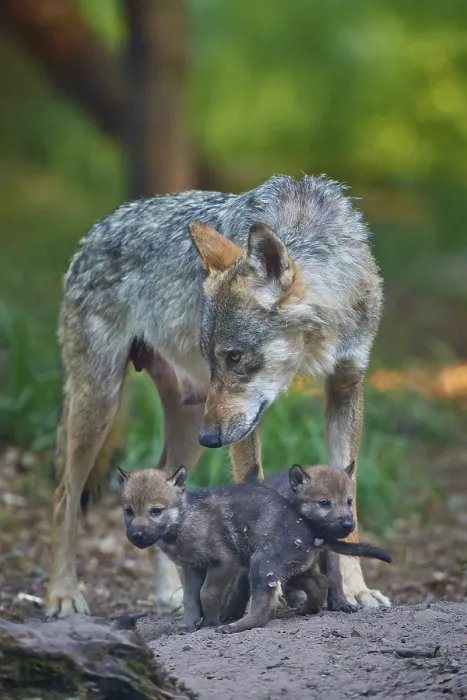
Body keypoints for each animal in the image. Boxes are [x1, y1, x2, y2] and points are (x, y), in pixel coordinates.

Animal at [48, 174, 389, 617]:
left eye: (235, 356)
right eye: (214, 358)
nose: (210, 439)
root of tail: (94, 231)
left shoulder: (347, 386)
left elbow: (350, 499)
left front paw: (357, 590)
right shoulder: (242, 426)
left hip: (188, 422)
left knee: (163, 484)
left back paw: (173, 596)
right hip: (102, 404)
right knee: (64, 497)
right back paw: (63, 594)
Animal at [119, 466, 392, 634]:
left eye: (156, 510)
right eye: (128, 510)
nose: (136, 536)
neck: (184, 519)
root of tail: (314, 532)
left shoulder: (223, 561)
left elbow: (207, 594)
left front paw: (210, 621)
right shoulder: (190, 568)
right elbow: (190, 599)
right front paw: (188, 626)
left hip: (262, 561)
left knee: (265, 606)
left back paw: (236, 626)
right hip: (290, 567)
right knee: (319, 582)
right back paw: (305, 609)